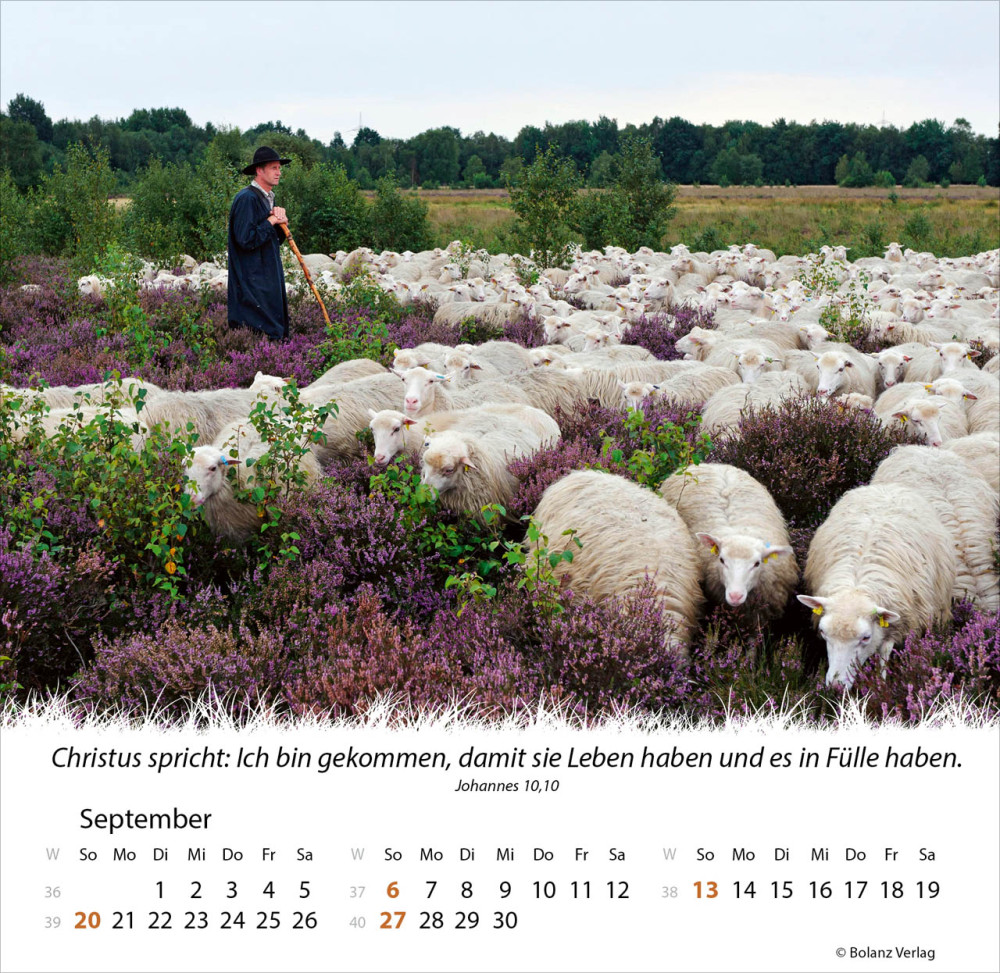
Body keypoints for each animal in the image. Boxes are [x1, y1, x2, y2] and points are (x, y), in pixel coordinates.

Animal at [797, 483, 957, 688]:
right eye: (824, 633)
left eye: (866, 638)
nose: (836, 685)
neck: (858, 585)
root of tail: (888, 487)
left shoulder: (902, 623)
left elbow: (884, 653)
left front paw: (881, 683)